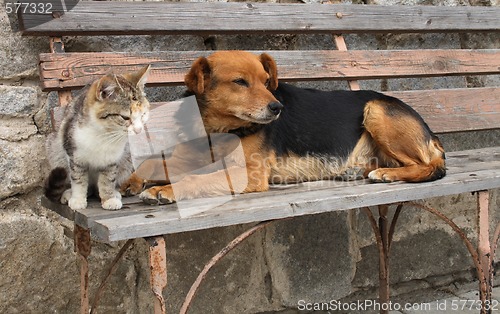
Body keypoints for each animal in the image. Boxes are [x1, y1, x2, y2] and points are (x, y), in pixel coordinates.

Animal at [44, 65, 150, 210]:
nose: (139, 130)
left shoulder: (112, 159)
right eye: (125, 117)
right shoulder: (74, 153)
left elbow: (107, 179)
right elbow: (78, 178)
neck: (104, 134)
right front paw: (77, 199)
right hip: (54, 148)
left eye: (143, 115)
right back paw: (68, 194)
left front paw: (109, 199)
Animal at [123, 50, 448, 205]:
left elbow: (195, 179)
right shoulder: (186, 157)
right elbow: (153, 162)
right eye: (240, 82)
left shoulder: (248, 173)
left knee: (432, 166)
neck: (218, 128)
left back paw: (387, 174)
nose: (277, 108)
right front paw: (131, 181)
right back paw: (358, 170)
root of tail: (430, 132)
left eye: (267, 82)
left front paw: (163, 189)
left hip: (377, 110)